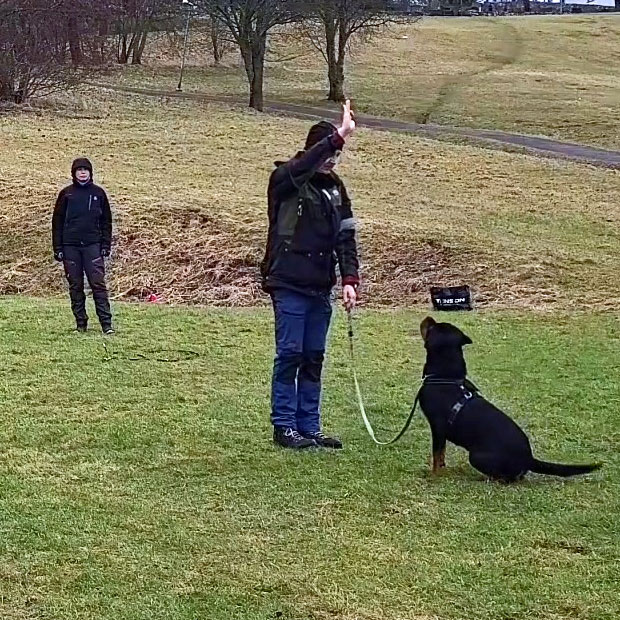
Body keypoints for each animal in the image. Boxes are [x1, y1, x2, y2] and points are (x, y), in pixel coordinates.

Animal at [416, 318, 600, 482]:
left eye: (432, 328)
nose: (429, 318)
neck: (445, 377)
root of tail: (529, 459)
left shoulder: (438, 427)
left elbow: (436, 454)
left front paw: (434, 476)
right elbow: (441, 454)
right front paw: (442, 468)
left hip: (476, 456)